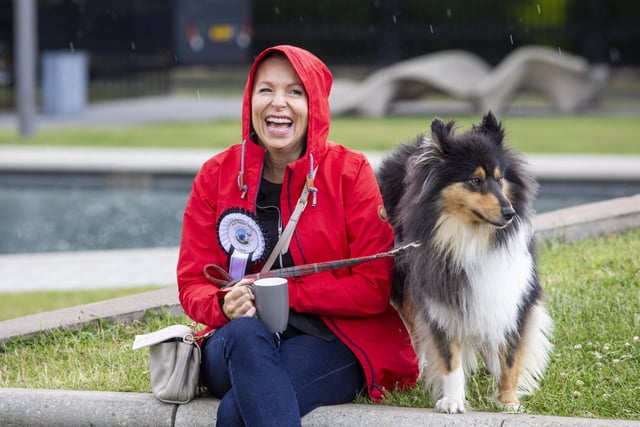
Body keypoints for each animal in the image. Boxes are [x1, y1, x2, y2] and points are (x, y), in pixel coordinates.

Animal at [378, 112, 552, 412]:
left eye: (499, 179)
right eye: (475, 181)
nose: (510, 212)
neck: (473, 236)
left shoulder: (514, 293)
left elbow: (510, 355)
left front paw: (508, 402)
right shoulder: (438, 299)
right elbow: (449, 356)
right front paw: (452, 400)